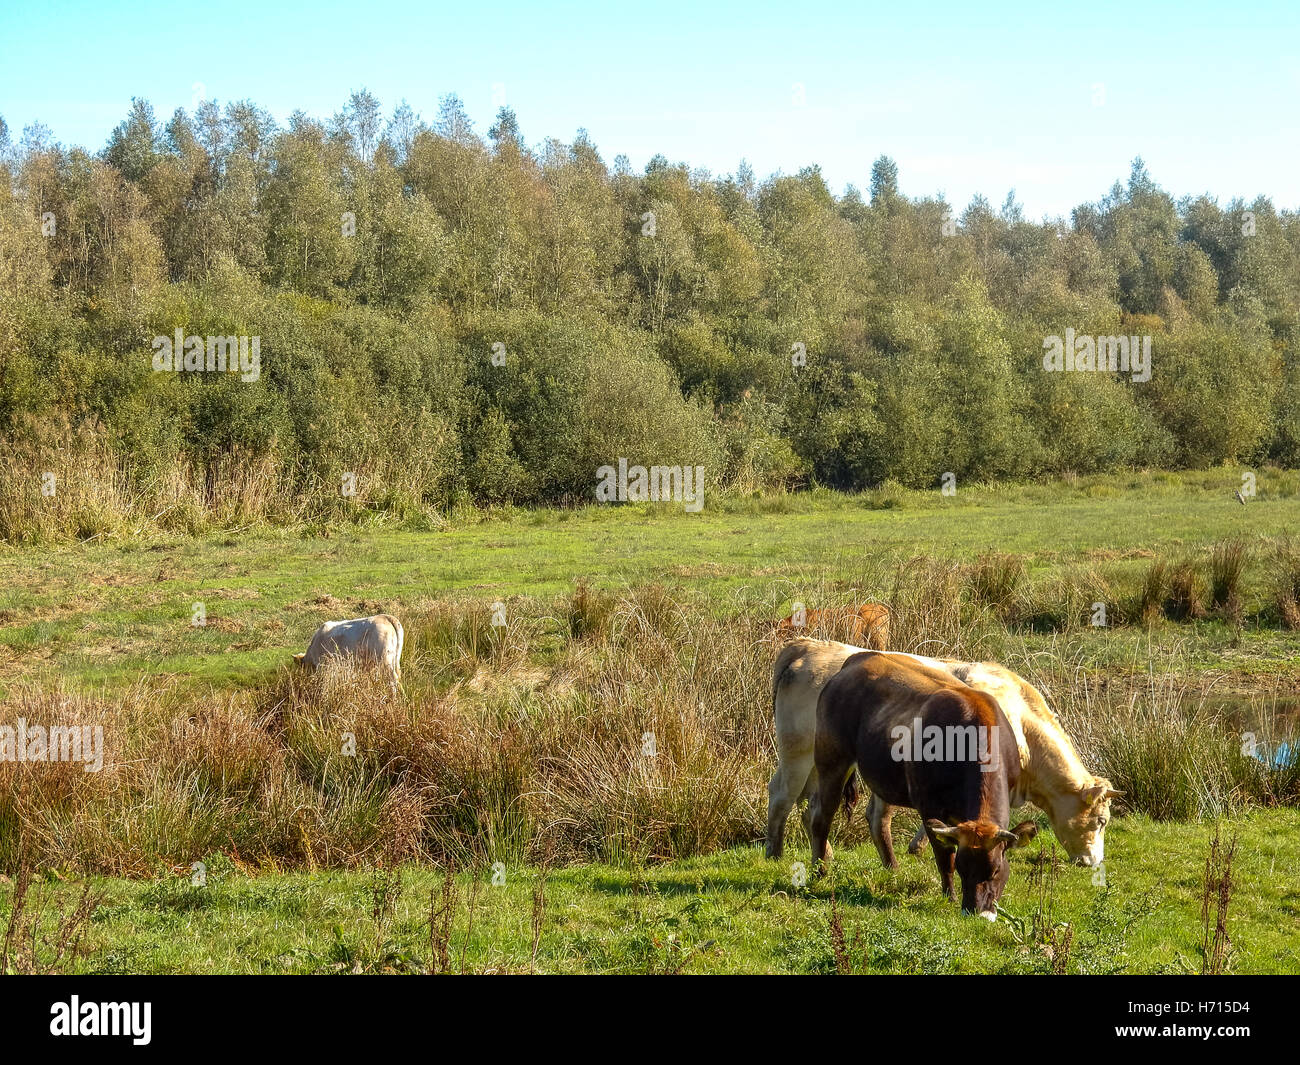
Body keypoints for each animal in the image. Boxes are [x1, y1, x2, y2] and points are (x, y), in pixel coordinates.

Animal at [764, 642, 1123, 868]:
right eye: (1101, 821)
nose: (1094, 862)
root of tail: (807, 646)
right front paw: (921, 845)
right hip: (798, 752)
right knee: (781, 795)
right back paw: (774, 853)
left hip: (822, 763)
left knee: (812, 806)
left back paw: (827, 855)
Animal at [811, 652, 1034, 920]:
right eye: (962, 868)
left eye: (995, 870)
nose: (975, 912)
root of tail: (859, 658)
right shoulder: (930, 808)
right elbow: (944, 857)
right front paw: (949, 896)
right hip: (831, 762)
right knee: (821, 817)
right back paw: (819, 871)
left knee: (877, 819)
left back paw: (893, 870)